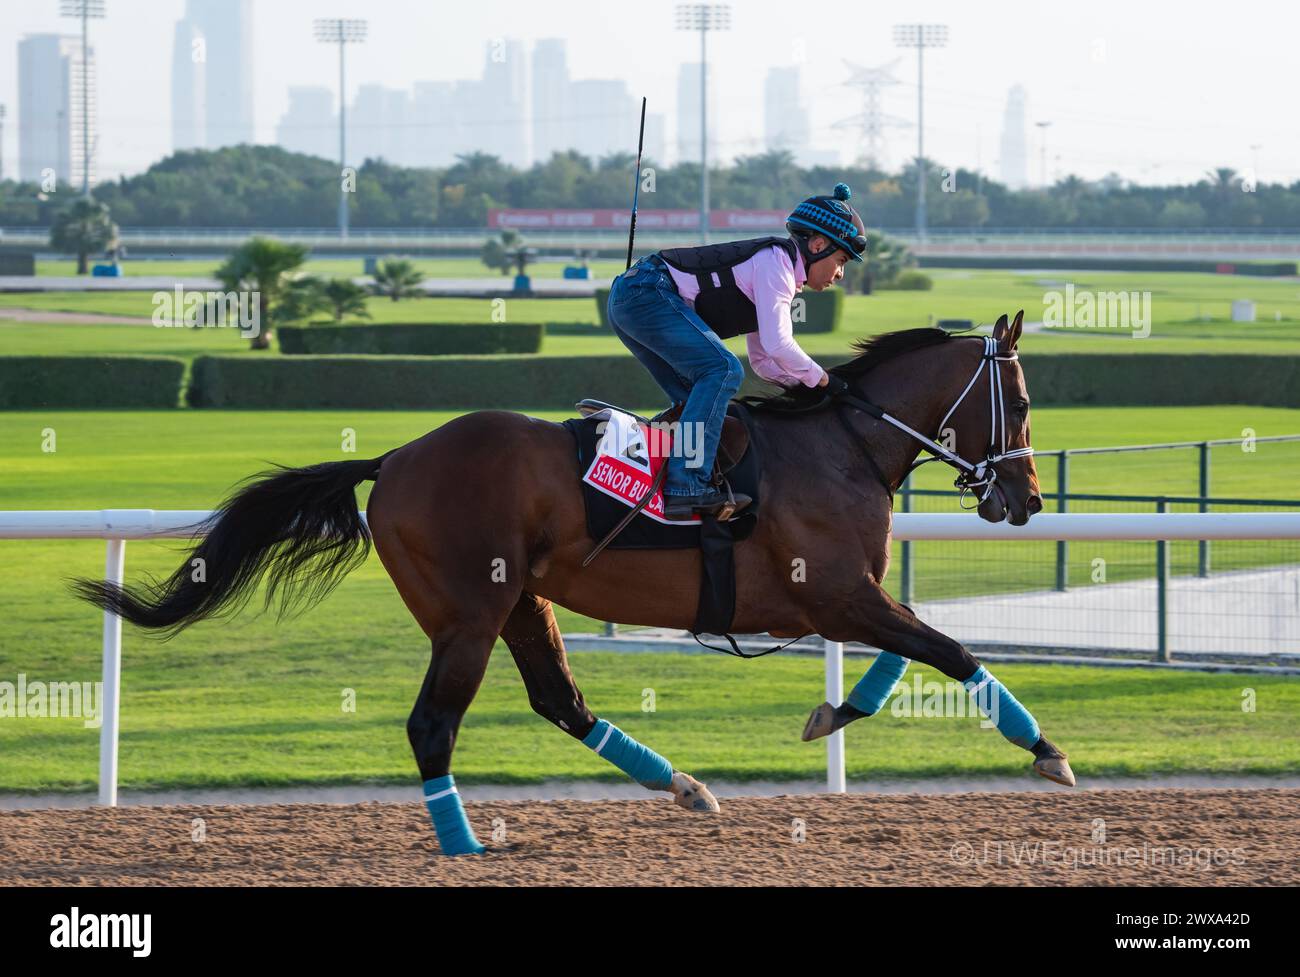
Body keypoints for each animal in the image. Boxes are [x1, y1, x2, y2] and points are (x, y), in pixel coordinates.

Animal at [73, 311, 1074, 856]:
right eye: (1023, 403)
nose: (1024, 498)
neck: (842, 444)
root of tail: (393, 458)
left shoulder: (841, 596)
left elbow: (914, 649)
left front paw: (831, 712)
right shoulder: (833, 589)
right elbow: (951, 649)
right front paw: (1048, 751)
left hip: (523, 598)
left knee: (561, 699)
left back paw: (685, 787)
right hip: (470, 612)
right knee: (434, 723)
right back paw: (465, 842)